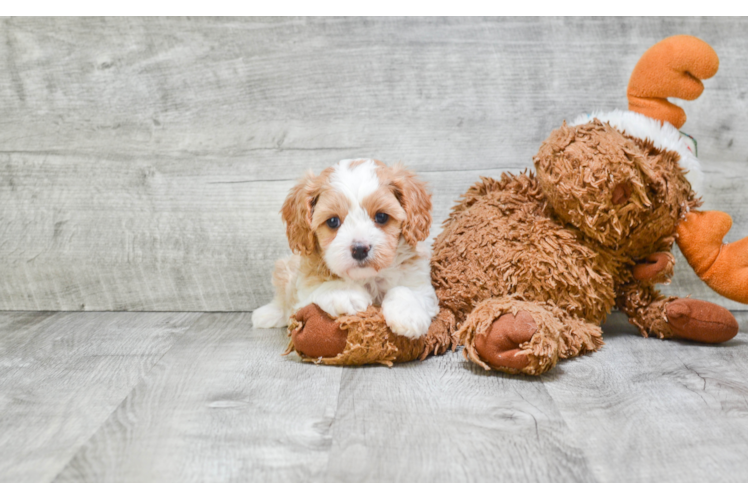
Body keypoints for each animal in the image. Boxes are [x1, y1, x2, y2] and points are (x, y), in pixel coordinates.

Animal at [253, 159, 438, 340]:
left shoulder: (422, 286)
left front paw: (409, 314)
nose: (360, 249)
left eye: (381, 217)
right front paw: (346, 293)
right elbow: (318, 288)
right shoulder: (302, 296)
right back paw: (266, 314)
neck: (367, 277)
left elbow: (406, 289)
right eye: (332, 221)